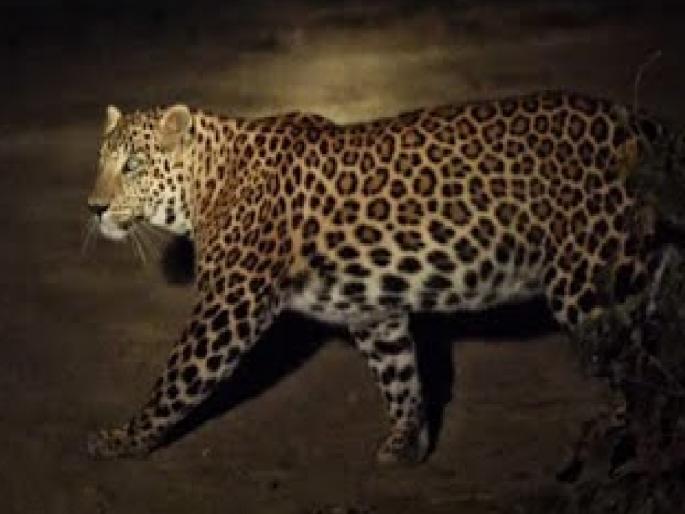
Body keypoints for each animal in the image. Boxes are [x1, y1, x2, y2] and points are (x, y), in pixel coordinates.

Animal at [86, 90, 685, 465]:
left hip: (592, 283)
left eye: (133, 166)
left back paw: (634, 440)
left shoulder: (229, 306)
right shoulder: (370, 308)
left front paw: (122, 439)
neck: (206, 185)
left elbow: (176, 381)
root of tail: (649, 125)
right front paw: (408, 442)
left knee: (643, 372)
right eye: (101, 161)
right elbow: (399, 373)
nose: (93, 207)